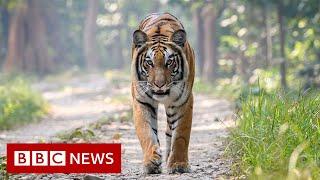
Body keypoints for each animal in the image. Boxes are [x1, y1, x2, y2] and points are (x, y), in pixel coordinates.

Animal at [131, 13, 195, 174]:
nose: (159, 85)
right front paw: (150, 163)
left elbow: (181, 135)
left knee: (170, 132)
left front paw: (179, 164)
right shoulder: (142, 101)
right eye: (149, 62)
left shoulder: (183, 101)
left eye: (169, 62)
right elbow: (146, 132)